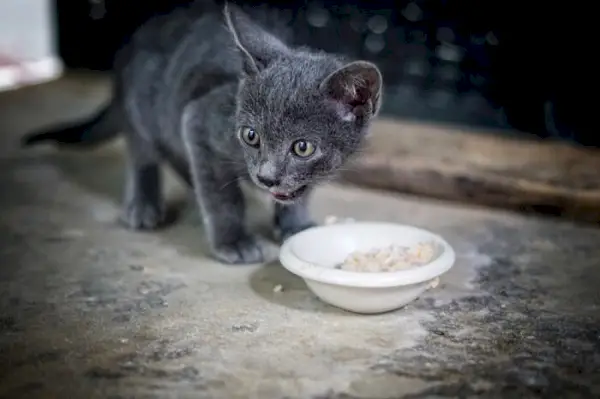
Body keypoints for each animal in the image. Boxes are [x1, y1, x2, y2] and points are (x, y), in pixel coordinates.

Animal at [23, 2, 382, 266]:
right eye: (251, 136)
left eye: (303, 147)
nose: (266, 177)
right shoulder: (199, 120)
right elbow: (224, 197)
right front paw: (234, 242)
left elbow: (298, 191)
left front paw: (294, 225)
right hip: (144, 104)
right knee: (142, 152)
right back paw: (143, 204)